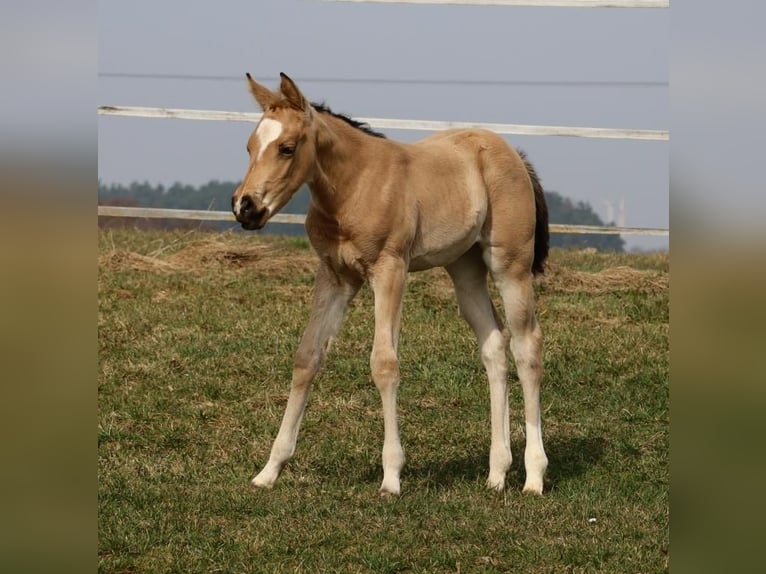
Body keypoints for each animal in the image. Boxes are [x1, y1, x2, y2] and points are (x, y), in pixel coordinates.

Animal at [232, 73, 550, 496]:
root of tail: (512, 152)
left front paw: (391, 477)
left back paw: (534, 476)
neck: (355, 187)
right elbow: (307, 357)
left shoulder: (389, 270)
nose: (245, 207)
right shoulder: (335, 277)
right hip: (464, 270)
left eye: (286, 148)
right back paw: (497, 473)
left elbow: (384, 363)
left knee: (527, 346)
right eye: (250, 146)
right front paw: (270, 469)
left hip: (510, 266)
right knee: (495, 345)